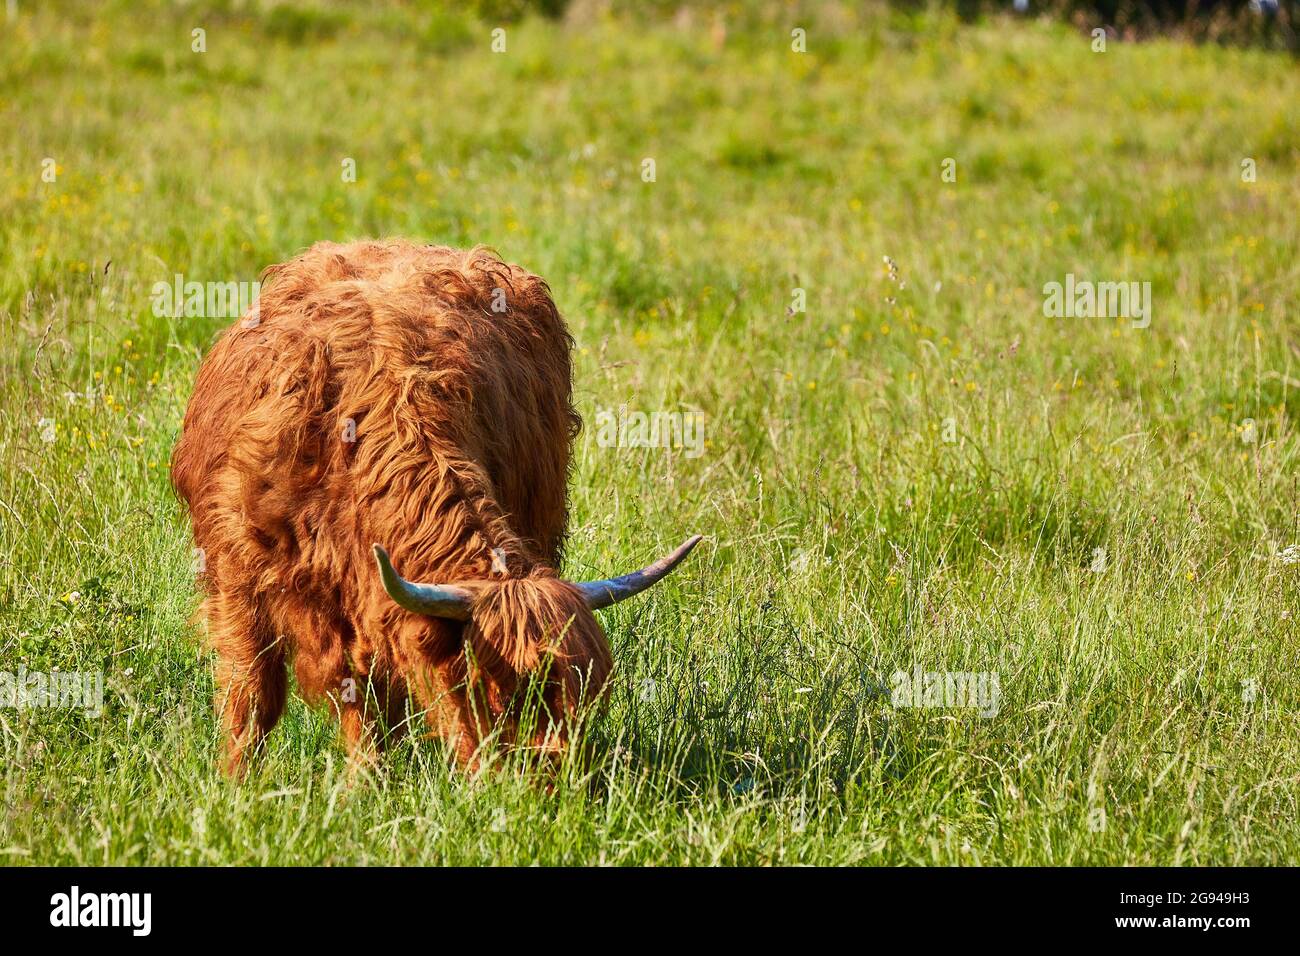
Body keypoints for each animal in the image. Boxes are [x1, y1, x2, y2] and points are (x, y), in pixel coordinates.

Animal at [178, 240, 702, 780]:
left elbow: (368, 706)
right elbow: (252, 695)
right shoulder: (236, 575)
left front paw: (365, 781)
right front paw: (237, 783)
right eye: (496, 692)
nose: (546, 785)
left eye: (581, 702)